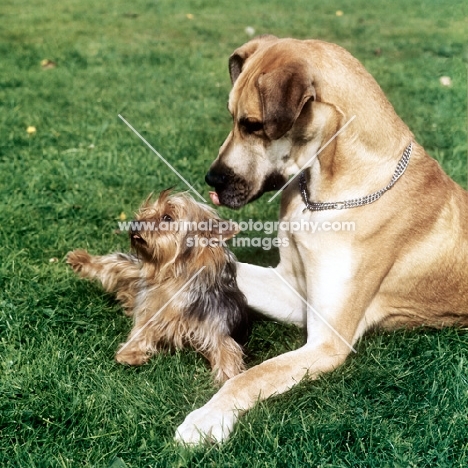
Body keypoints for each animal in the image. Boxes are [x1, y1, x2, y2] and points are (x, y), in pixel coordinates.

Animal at [67, 190, 249, 384]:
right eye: (147, 210)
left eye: (167, 217)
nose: (134, 223)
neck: (176, 280)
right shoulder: (153, 312)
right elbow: (143, 328)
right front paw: (130, 353)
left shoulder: (217, 328)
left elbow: (228, 351)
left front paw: (230, 379)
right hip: (131, 267)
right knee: (110, 264)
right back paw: (80, 259)